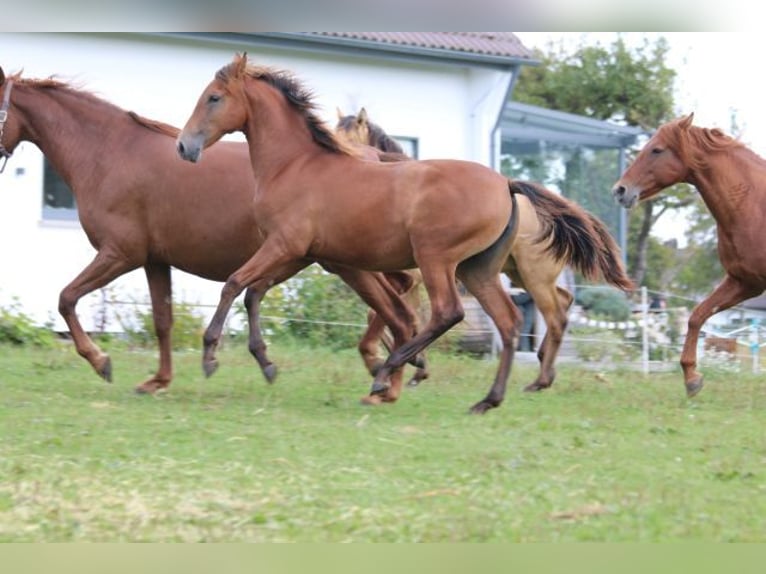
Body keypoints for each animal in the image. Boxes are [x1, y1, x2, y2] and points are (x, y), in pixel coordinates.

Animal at [0, 64, 426, 396]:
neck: (109, 152)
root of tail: (372, 156)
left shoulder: (120, 253)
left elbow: (66, 298)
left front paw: (101, 361)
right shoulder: (154, 260)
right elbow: (163, 320)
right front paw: (159, 380)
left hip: (346, 261)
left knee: (399, 300)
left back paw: (391, 367)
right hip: (340, 262)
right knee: (396, 302)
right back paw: (393, 367)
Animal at [338, 106, 636, 394]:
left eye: (349, 137)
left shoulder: (414, 277)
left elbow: (386, 314)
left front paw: (400, 364)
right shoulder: (414, 281)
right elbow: (404, 317)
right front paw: (414, 366)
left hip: (534, 277)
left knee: (556, 316)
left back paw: (539, 380)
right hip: (519, 275)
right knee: (563, 300)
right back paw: (543, 368)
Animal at [616, 113, 766, 400]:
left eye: (657, 149)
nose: (620, 190)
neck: (754, 204)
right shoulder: (745, 282)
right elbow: (697, 315)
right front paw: (692, 378)